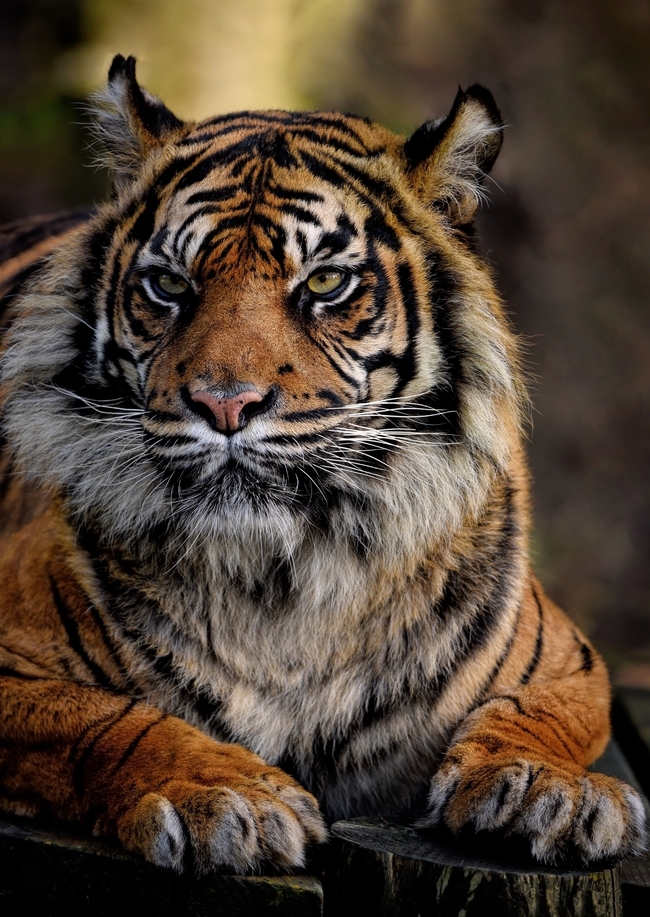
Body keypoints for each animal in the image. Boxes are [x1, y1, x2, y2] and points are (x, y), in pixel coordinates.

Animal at [0, 54, 646, 877]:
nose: (225, 403)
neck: (284, 583)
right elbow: (106, 717)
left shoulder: (567, 660)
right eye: (170, 286)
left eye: (325, 283)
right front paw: (225, 794)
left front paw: (547, 787)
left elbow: (537, 712)